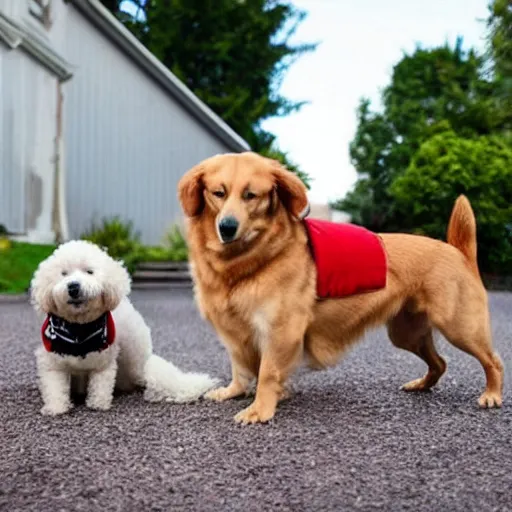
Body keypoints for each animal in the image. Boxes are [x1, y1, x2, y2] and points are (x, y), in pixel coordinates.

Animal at [31, 241, 217, 416]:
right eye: (63, 274)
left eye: (89, 272)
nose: (73, 286)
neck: (78, 330)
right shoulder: (53, 363)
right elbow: (54, 386)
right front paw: (56, 408)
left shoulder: (103, 362)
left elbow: (101, 384)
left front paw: (98, 404)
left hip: (135, 363)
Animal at [178, 151, 502, 424]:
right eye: (218, 193)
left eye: (250, 195)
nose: (227, 227)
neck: (250, 260)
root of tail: (459, 252)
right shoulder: (235, 332)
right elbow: (241, 369)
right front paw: (234, 391)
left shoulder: (280, 331)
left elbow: (267, 373)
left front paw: (260, 409)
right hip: (405, 333)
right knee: (440, 363)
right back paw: (421, 385)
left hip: (460, 327)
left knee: (493, 361)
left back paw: (492, 394)